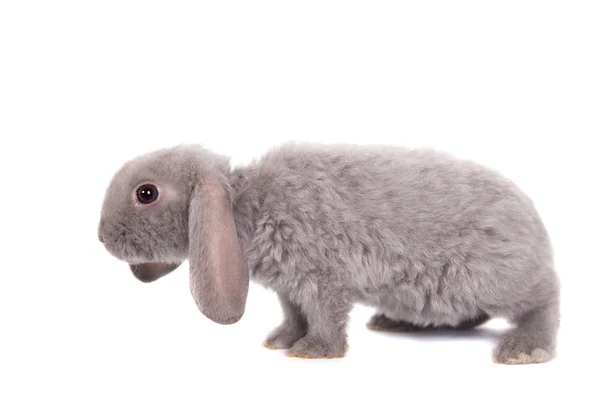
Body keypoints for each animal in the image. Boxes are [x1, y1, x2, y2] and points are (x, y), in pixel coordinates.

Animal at [96, 142, 560, 364]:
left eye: (147, 193)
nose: (100, 237)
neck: (247, 203)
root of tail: (536, 224)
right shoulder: (288, 287)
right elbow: (293, 314)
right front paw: (281, 340)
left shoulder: (323, 278)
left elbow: (323, 314)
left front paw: (313, 351)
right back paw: (396, 323)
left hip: (493, 279)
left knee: (545, 300)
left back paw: (526, 349)